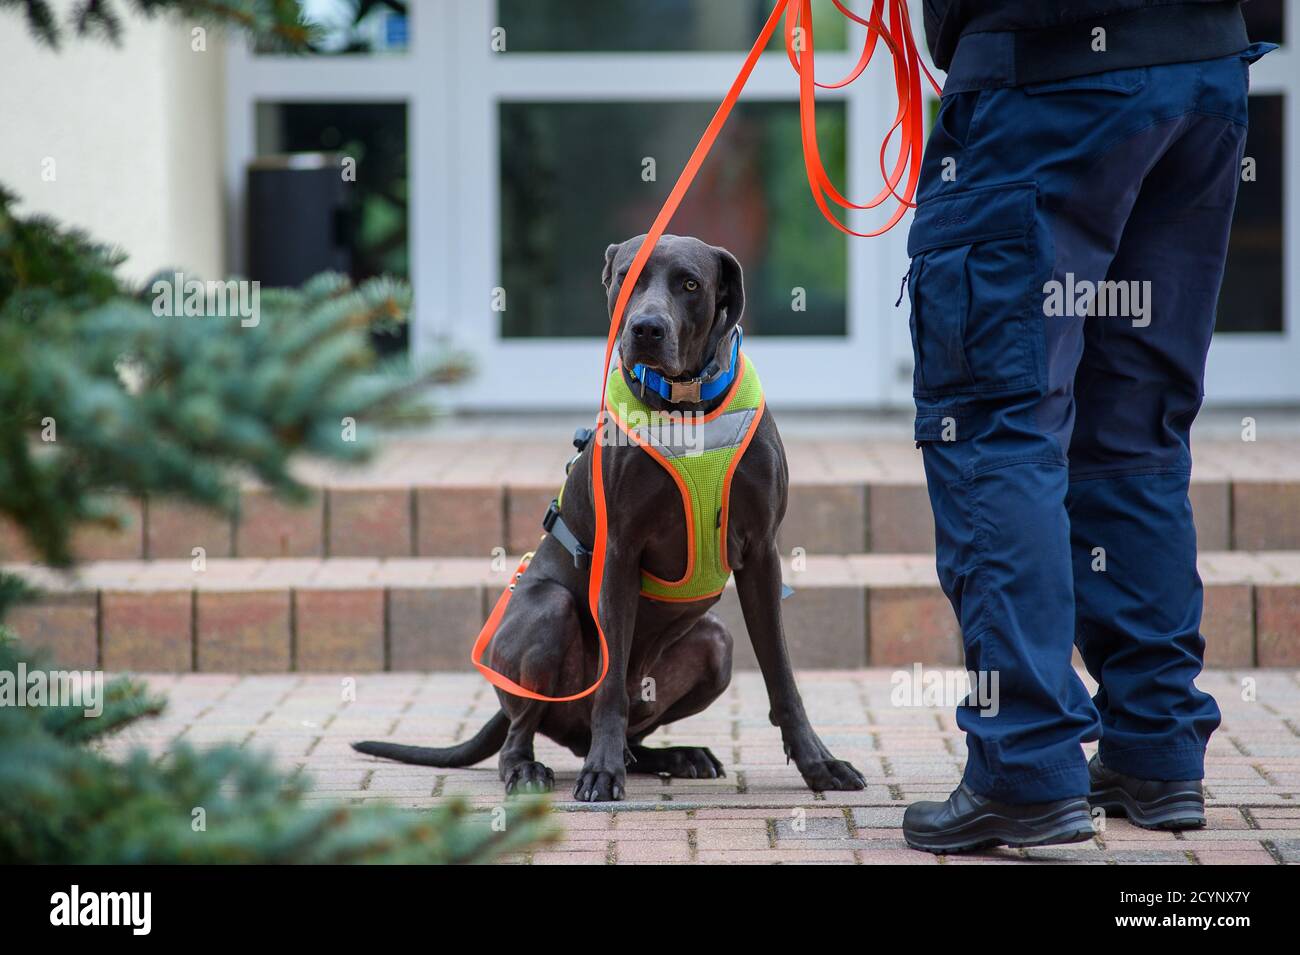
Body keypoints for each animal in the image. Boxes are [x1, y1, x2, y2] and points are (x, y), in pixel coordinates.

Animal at [353, 235, 863, 805]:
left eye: (690, 283)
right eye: (626, 277)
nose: (645, 328)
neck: (685, 404)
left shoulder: (761, 552)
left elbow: (782, 676)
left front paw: (819, 764)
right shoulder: (621, 552)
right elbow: (611, 683)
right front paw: (601, 773)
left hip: (716, 645)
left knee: (633, 730)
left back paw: (671, 756)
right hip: (547, 616)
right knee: (522, 732)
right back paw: (537, 767)